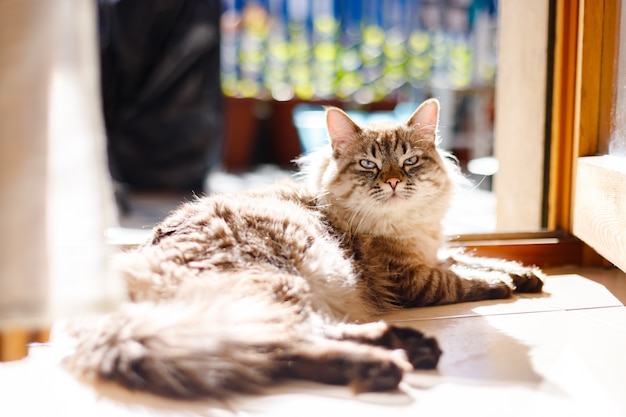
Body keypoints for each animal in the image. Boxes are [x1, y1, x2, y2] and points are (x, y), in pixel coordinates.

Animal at [64, 97, 540, 396]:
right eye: (368, 164)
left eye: (409, 161)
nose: (393, 182)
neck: (405, 226)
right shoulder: (410, 278)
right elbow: (459, 278)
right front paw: (503, 283)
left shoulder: (433, 251)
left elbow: (470, 256)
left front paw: (525, 273)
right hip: (281, 285)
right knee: (283, 347)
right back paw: (386, 364)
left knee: (293, 341)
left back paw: (405, 346)